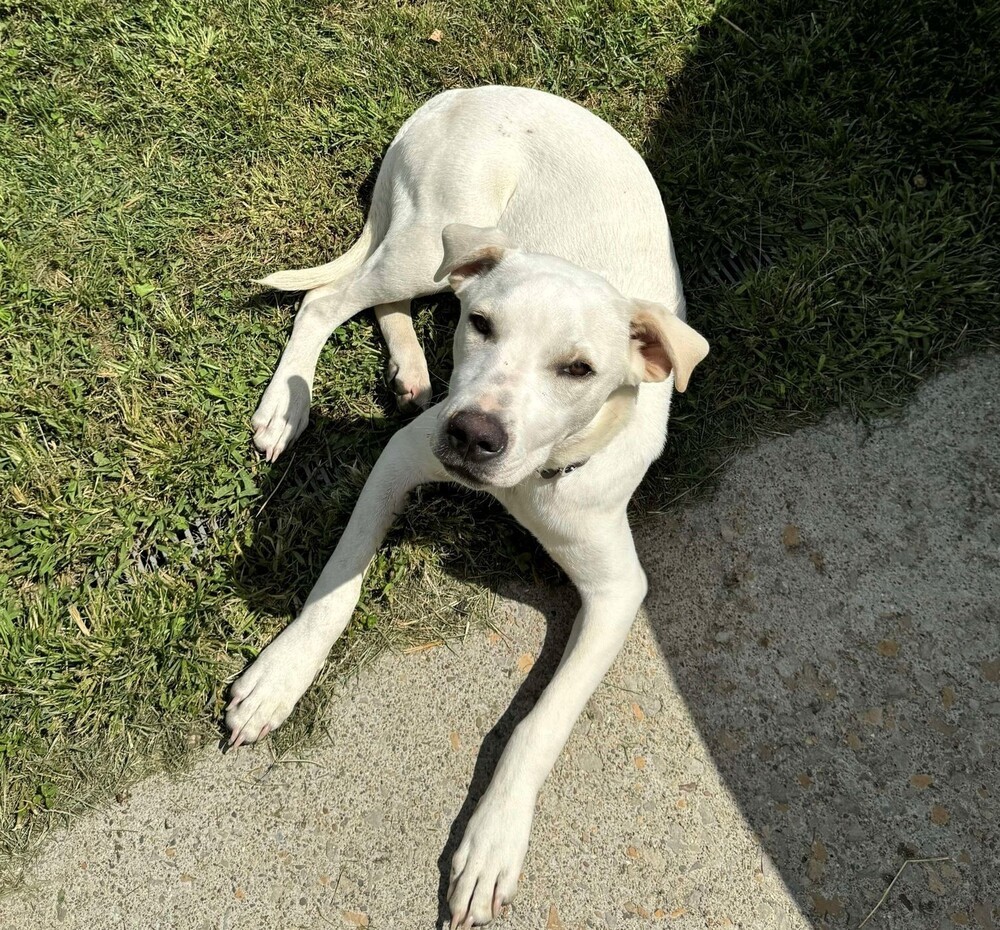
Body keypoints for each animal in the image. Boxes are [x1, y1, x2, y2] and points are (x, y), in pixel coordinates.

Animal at [227, 83, 712, 924]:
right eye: (485, 327)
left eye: (579, 369)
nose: (472, 433)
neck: (531, 477)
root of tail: (465, 93)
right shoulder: (401, 457)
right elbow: (335, 590)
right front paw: (281, 676)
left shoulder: (618, 592)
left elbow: (540, 726)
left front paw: (492, 841)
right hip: (427, 245)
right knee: (328, 299)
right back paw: (288, 408)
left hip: (432, 266)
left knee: (384, 305)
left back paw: (411, 367)